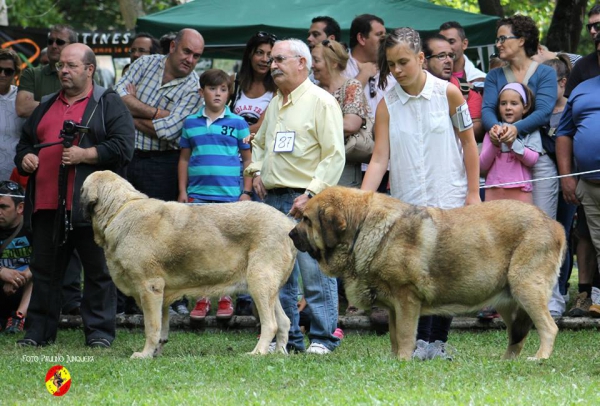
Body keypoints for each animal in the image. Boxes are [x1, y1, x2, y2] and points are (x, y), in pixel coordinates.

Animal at [79, 171, 296, 358]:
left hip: (259, 281)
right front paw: (155, 352)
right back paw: (279, 353)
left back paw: (257, 353)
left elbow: (151, 327)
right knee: (284, 322)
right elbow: (162, 328)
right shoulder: (161, 295)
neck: (119, 211)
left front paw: (144, 354)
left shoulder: (149, 288)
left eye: (80, 190)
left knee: (271, 324)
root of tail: (289, 224)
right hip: (267, 287)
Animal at [290, 187, 568, 362]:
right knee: (517, 336)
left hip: (526, 288)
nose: (290, 234)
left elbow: (404, 334)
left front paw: (403, 360)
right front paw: (394, 360)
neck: (362, 227)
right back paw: (507, 361)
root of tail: (555, 224)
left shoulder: (406, 299)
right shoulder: (394, 307)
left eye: (307, 220)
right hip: (509, 302)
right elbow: (394, 335)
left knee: (548, 327)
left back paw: (540, 357)